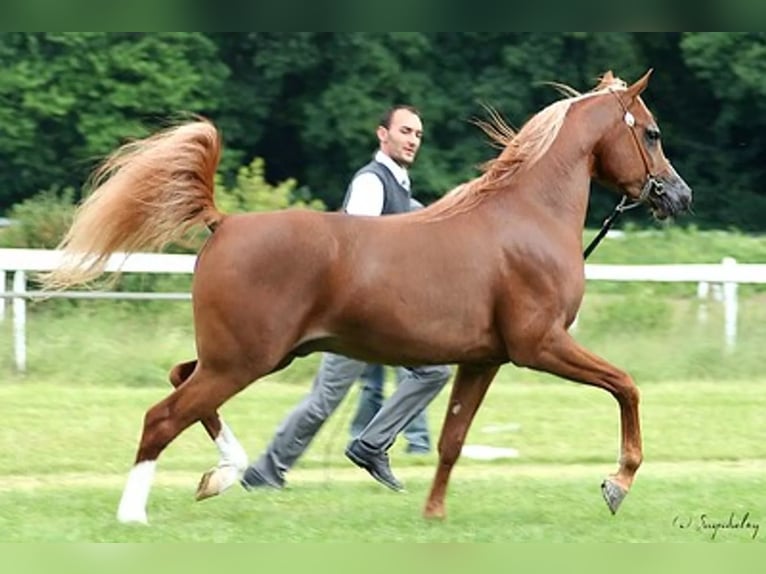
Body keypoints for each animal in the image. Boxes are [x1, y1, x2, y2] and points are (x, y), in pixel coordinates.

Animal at [41, 70, 691, 524]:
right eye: (653, 132)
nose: (679, 196)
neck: (525, 217)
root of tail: (222, 222)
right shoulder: (541, 345)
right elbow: (626, 386)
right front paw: (617, 484)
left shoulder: (483, 359)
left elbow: (452, 440)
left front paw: (433, 515)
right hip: (242, 361)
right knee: (162, 415)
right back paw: (136, 513)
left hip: (243, 357)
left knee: (181, 383)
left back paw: (220, 477)